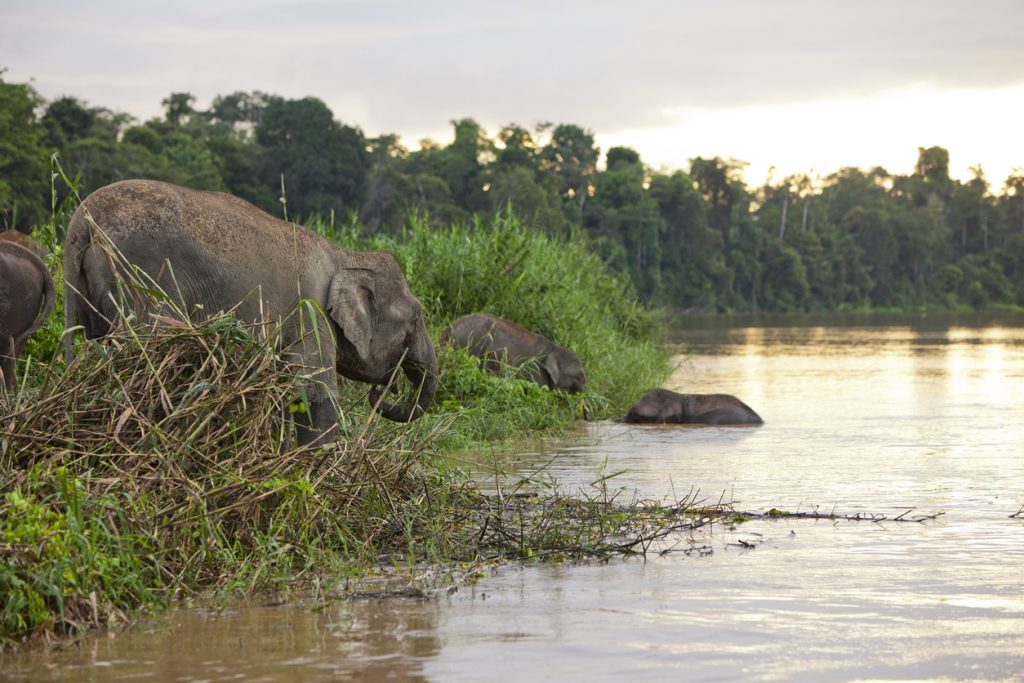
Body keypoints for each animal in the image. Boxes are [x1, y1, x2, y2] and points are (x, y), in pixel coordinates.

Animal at [62, 179, 440, 446]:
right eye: (415, 319)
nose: (386, 390)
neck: (344, 255)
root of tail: (82, 222)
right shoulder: (310, 311)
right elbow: (315, 394)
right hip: (143, 280)